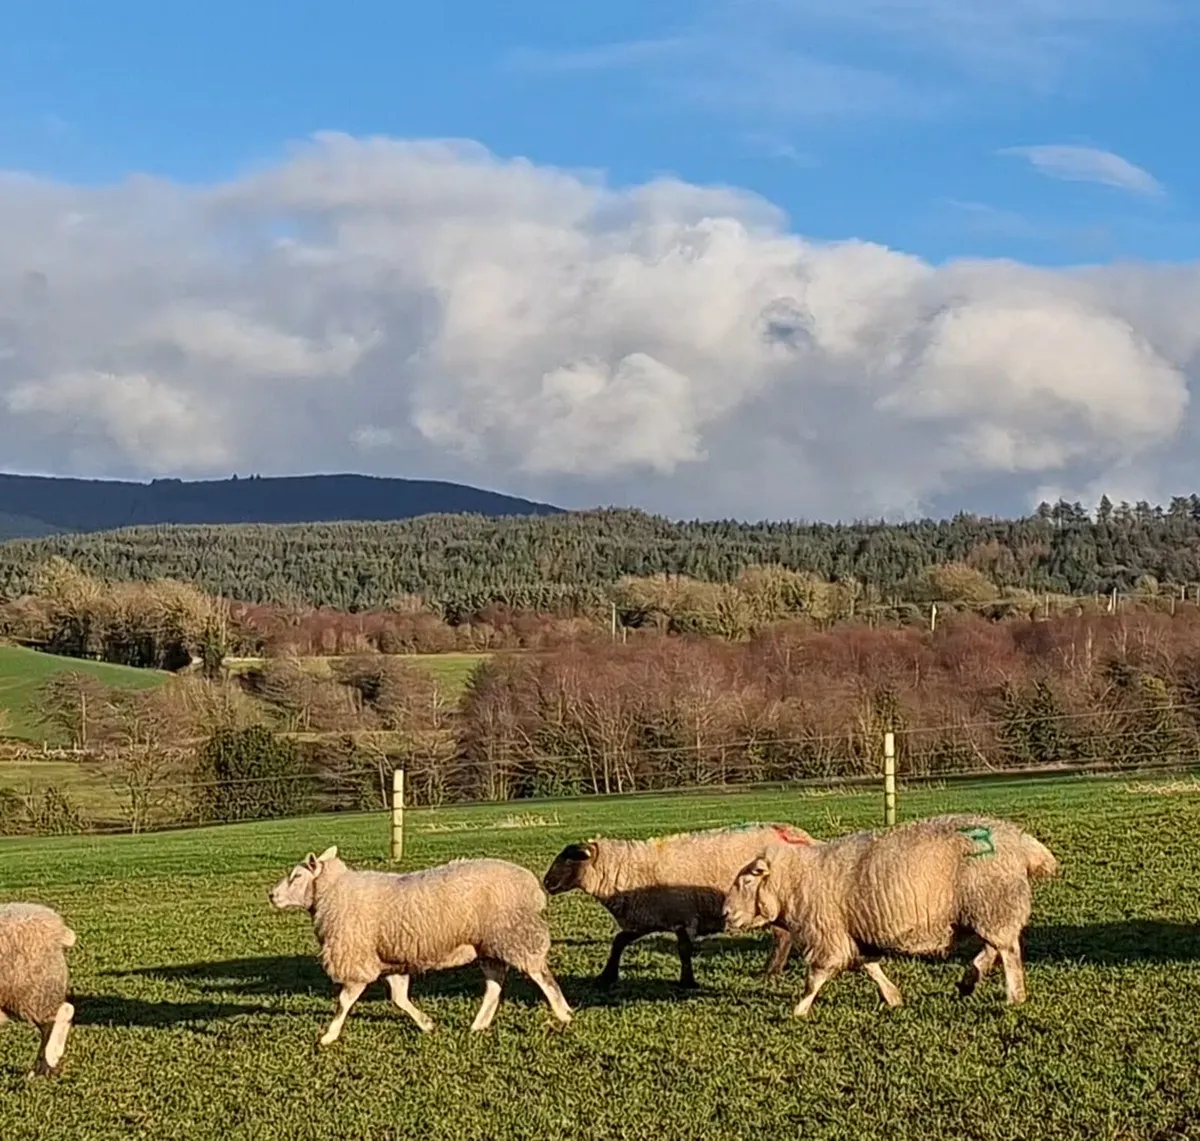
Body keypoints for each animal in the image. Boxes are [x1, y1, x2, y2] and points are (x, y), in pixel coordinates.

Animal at [268, 846, 573, 1045]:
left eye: (297, 877)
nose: (271, 895)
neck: (333, 892)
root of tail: (531, 886)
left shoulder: (357, 959)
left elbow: (344, 1001)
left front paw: (328, 1036)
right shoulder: (392, 961)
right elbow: (399, 999)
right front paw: (427, 1024)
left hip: (515, 935)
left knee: (540, 975)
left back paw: (564, 1014)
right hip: (488, 946)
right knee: (494, 985)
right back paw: (479, 1024)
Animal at [542, 822, 816, 988]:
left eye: (570, 859)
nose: (546, 883)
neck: (626, 869)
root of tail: (802, 836)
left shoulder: (682, 915)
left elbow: (684, 949)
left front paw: (688, 982)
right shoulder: (648, 916)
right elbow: (619, 941)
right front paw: (606, 976)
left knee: (782, 937)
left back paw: (769, 971)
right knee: (784, 936)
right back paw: (773, 970)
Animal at [722, 813, 1059, 1018]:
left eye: (747, 880)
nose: (725, 913)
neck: (797, 878)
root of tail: (1022, 840)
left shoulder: (829, 934)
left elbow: (815, 977)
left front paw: (799, 1010)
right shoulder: (853, 933)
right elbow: (870, 967)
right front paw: (893, 997)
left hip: (992, 902)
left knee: (1008, 951)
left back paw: (1014, 995)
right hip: (989, 908)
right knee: (995, 947)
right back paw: (969, 979)